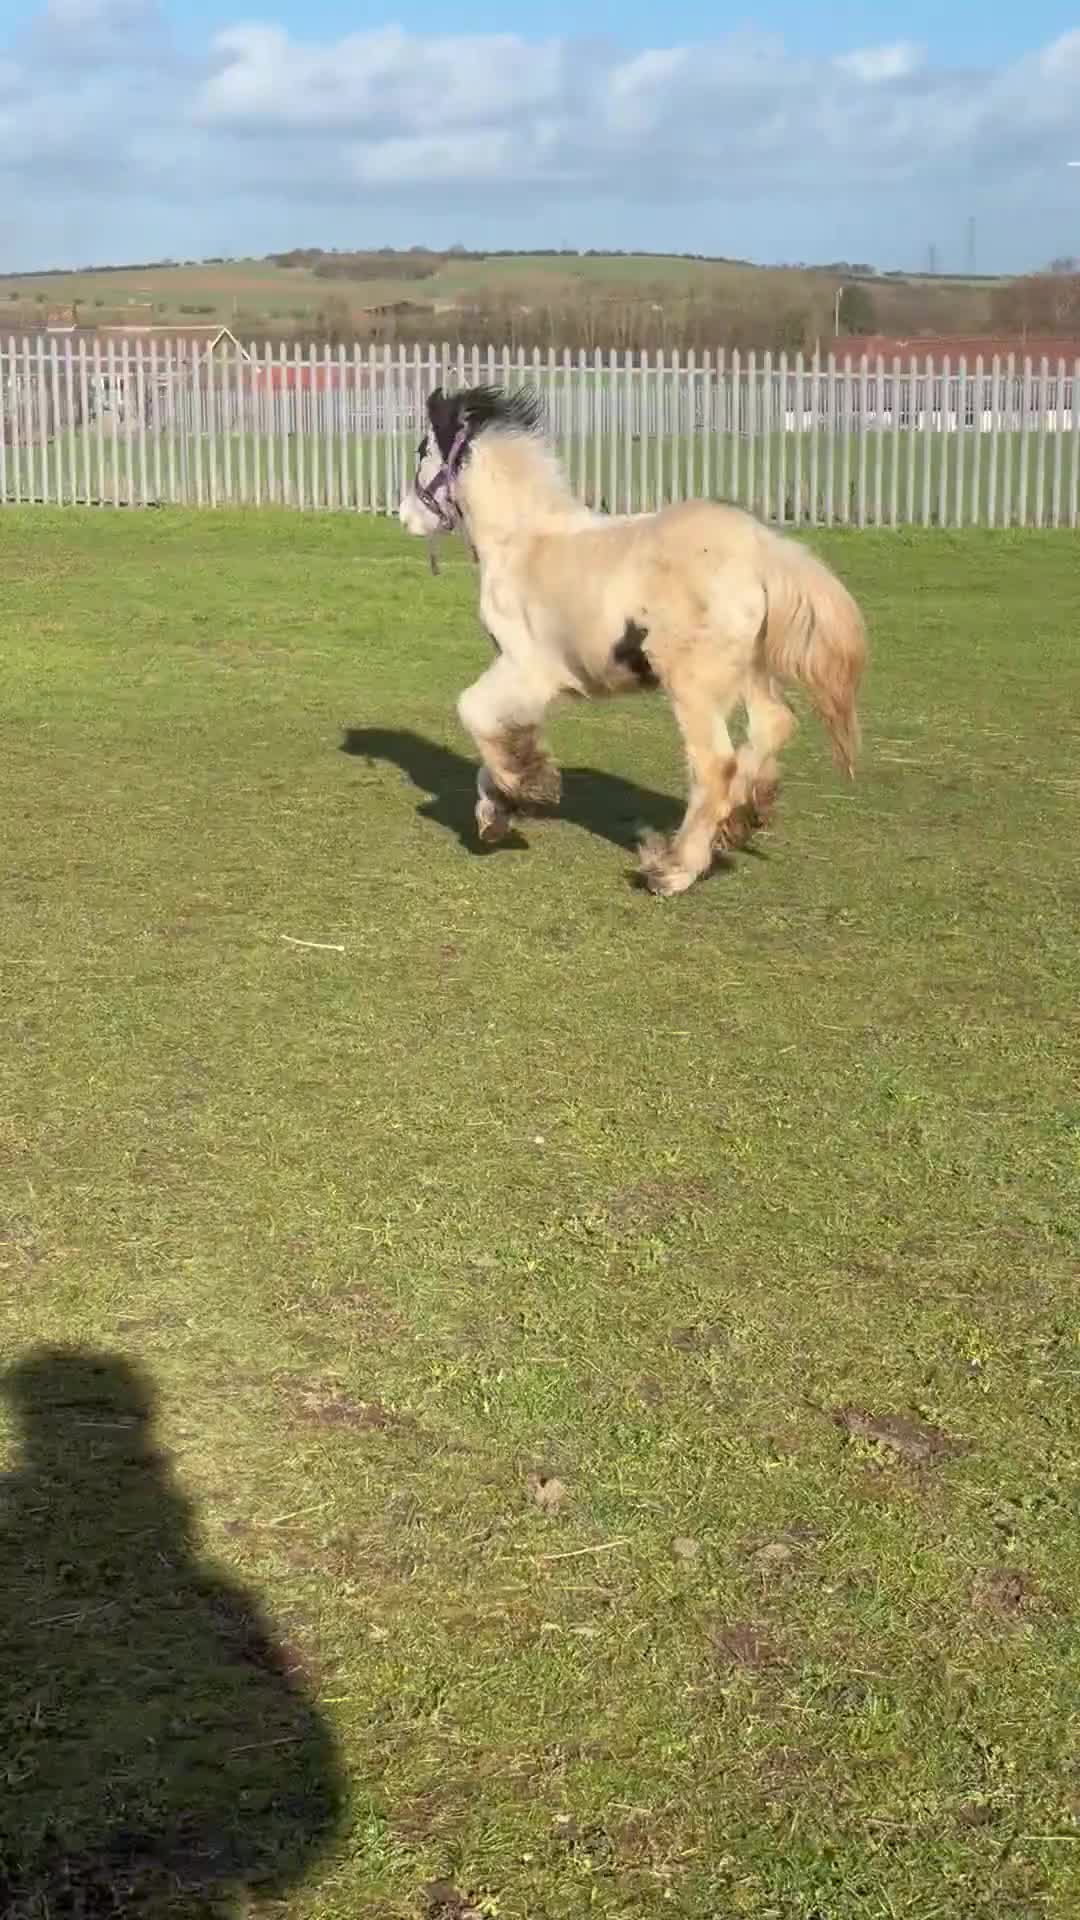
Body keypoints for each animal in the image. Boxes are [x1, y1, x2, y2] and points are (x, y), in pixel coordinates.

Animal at [397, 383, 867, 898]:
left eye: (421, 449)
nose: (404, 516)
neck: (523, 540)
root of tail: (762, 549)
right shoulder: (531, 682)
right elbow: (501, 733)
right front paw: (499, 809)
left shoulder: (527, 668)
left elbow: (473, 711)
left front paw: (526, 788)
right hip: (749, 671)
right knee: (773, 725)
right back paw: (739, 818)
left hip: (694, 685)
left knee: (715, 765)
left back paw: (674, 869)